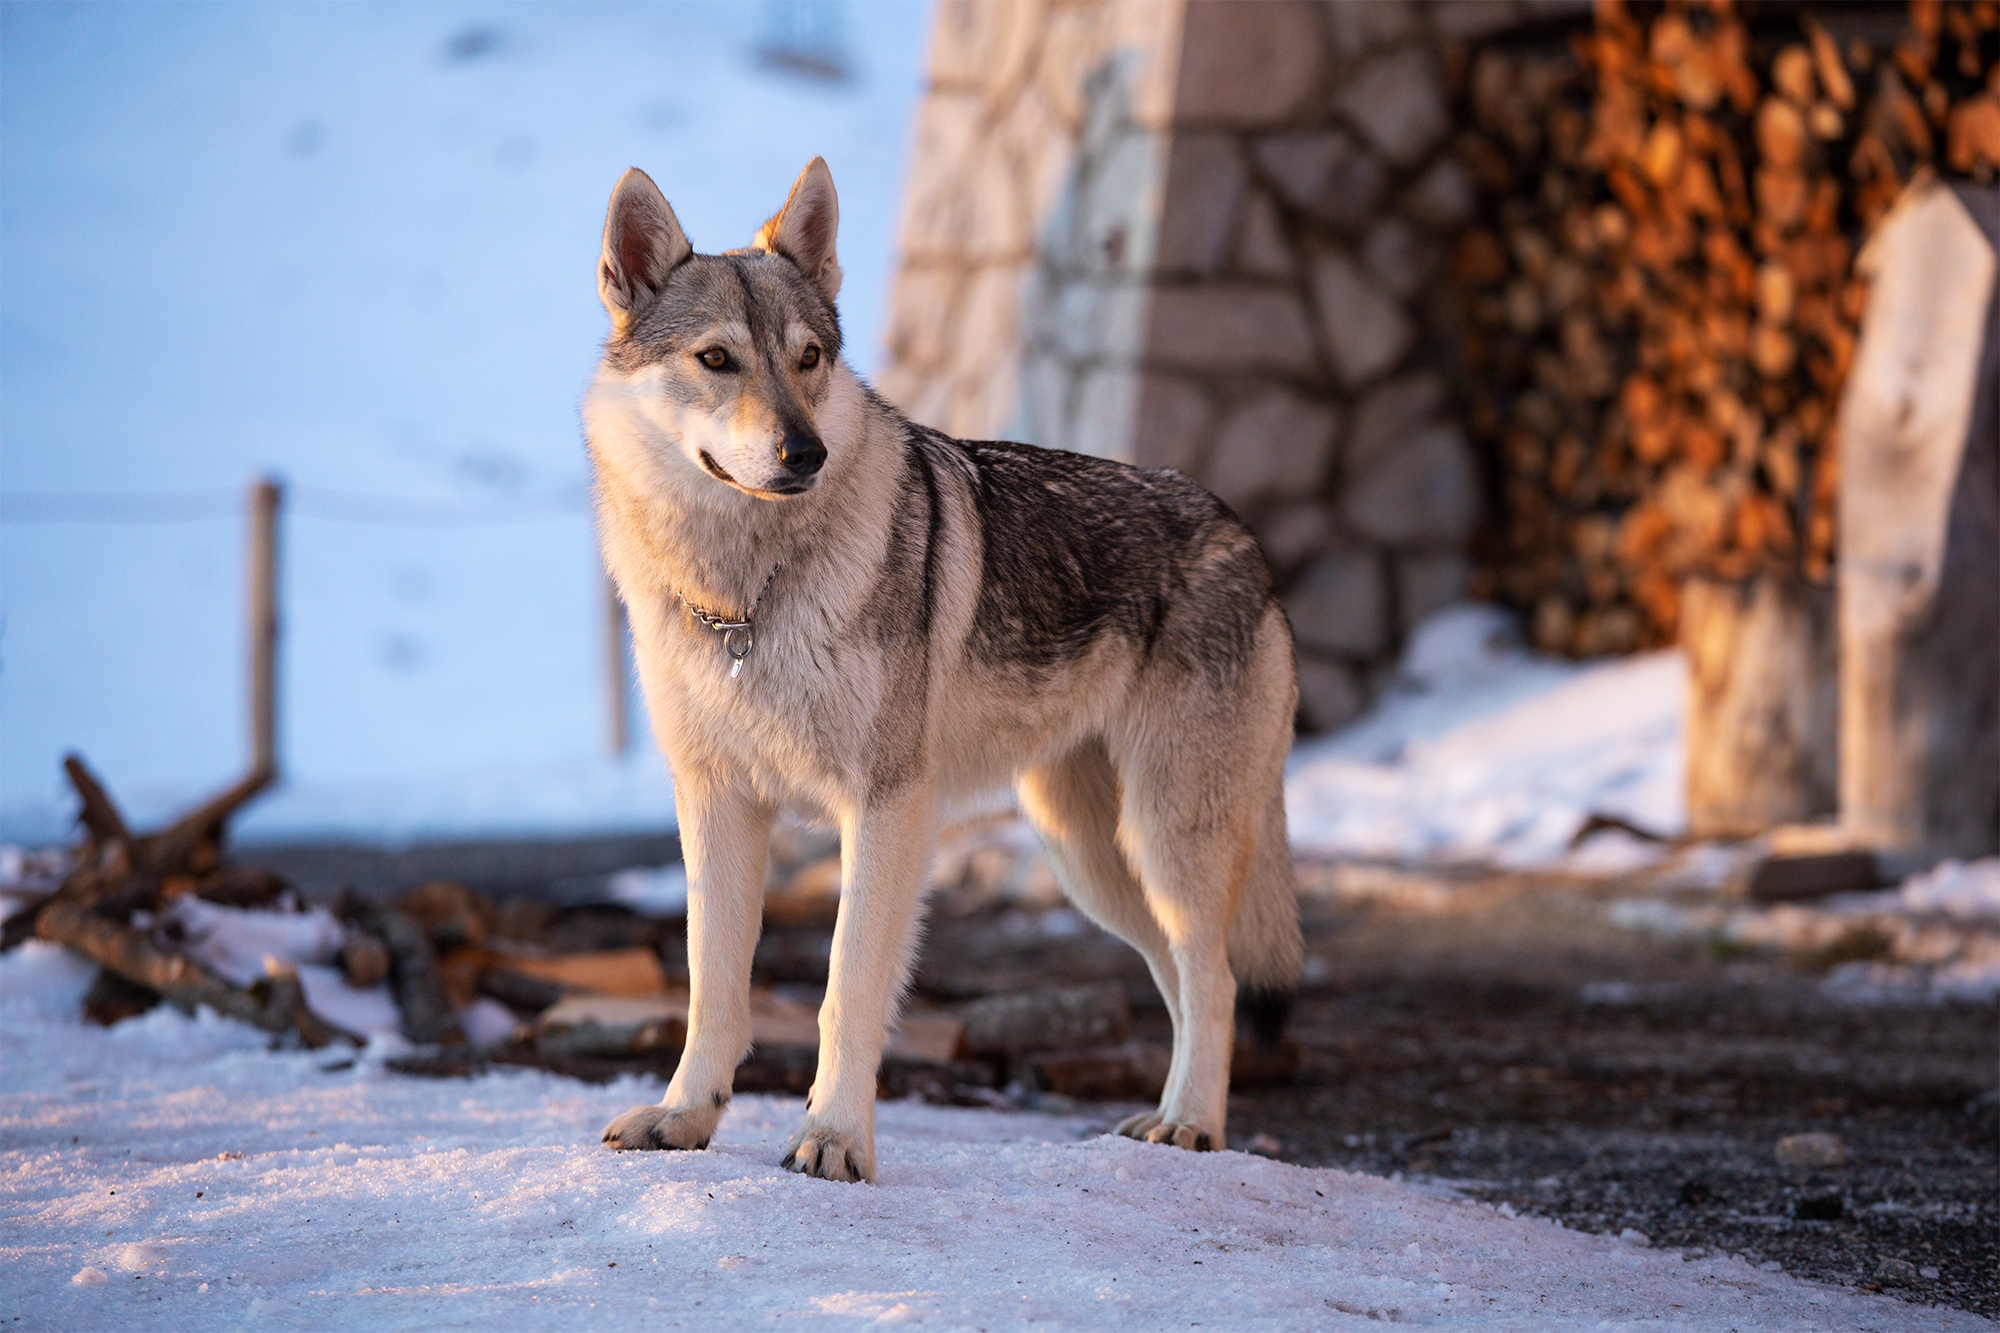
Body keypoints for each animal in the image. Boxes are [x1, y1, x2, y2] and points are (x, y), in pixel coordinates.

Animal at [588, 158, 1303, 1182]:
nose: (807, 452)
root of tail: (1245, 537)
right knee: (1183, 977)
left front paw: (835, 1139)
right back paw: (1157, 1121)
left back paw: (1193, 1127)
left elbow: (846, 988)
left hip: (1169, 840)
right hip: (1094, 863)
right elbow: (710, 988)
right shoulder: (718, 803)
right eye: (717, 360)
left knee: (1219, 977)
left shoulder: (888, 807)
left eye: (809, 358)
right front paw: (684, 1118)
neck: (746, 598)